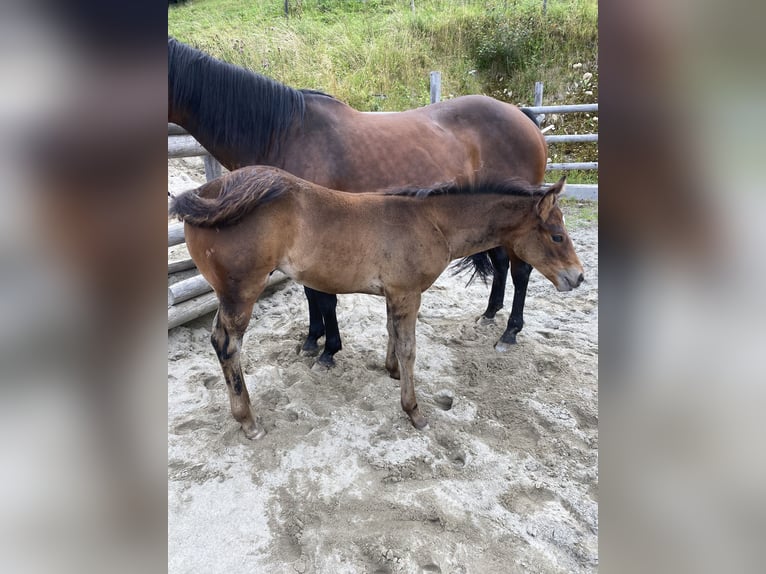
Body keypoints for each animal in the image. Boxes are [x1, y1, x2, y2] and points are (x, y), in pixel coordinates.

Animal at [171, 38, 548, 366]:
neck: (284, 135)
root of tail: (522, 115)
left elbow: (324, 297)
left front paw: (329, 350)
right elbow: (311, 293)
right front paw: (313, 340)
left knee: (522, 270)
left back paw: (510, 332)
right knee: (502, 263)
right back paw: (489, 314)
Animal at [171, 166, 584, 440]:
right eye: (557, 235)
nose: (578, 277)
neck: (432, 222)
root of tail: (209, 192)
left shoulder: (395, 294)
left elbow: (392, 335)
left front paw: (392, 371)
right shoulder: (408, 293)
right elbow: (409, 347)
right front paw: (414, 411)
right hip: (241, 291)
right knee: (227, 344)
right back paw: (248, 421)